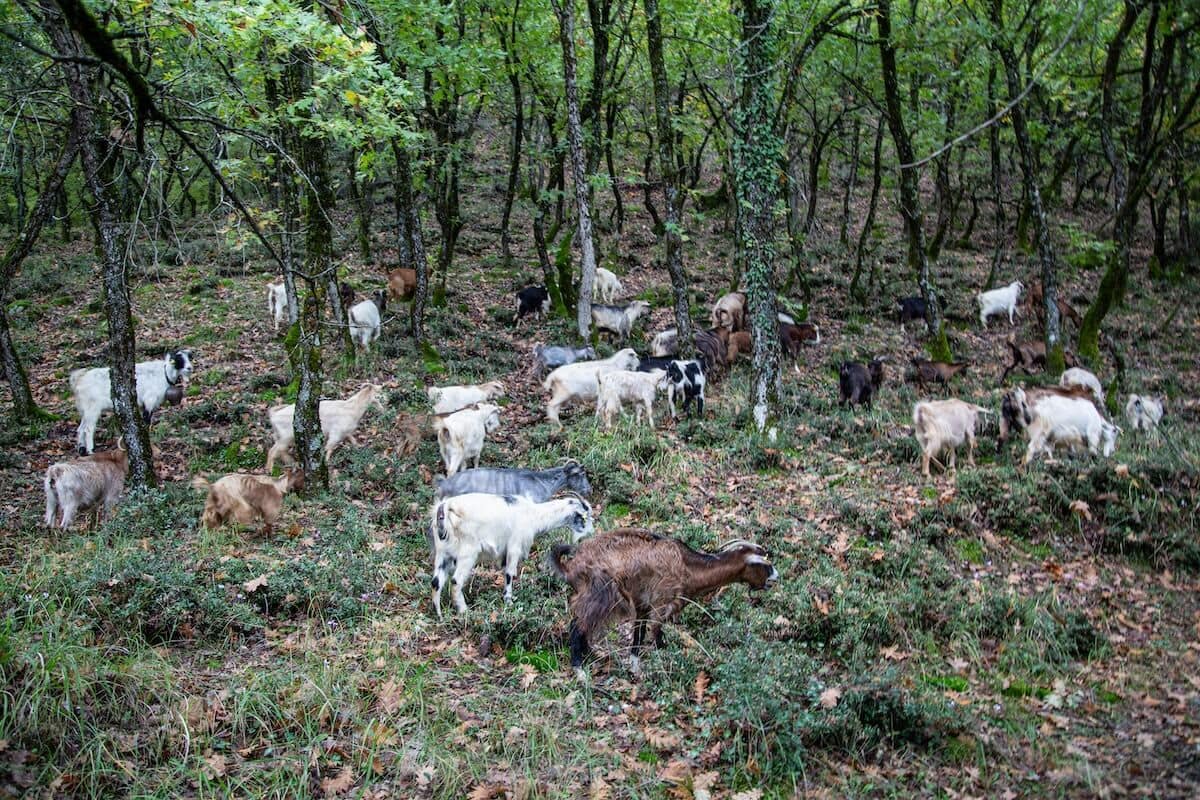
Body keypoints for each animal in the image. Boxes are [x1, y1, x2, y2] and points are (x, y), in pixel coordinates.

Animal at [430, 494, 593, 617]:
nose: (590, 534)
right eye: (584, 517)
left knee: (436, 582)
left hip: (443, 553)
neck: (533, 514)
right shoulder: (514, 546)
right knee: (456, 581)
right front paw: (509, 602)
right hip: (467, 553)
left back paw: (440, 616)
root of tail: (445, 508)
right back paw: (464, 612)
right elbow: (509, 574)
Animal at [549, 529, 778, 676]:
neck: (687, 566)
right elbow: (658, 638)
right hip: (600, 594)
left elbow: (639, 634)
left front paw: (635, 669)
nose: (776, 577)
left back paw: (592, 655)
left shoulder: (642, 604)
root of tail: (571, 566)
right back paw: (580, 670)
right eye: (763, 564)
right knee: (577, 626)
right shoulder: (661, 604)